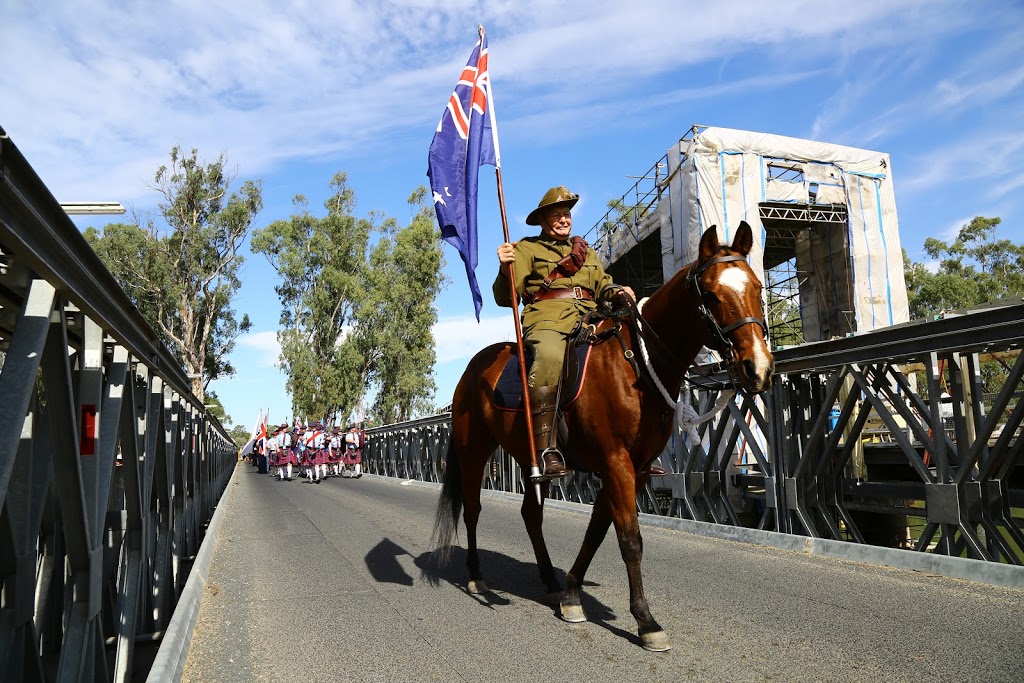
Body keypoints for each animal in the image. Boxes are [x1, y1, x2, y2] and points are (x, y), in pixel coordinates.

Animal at [428, 223, 770, 651]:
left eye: (757, 286)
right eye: (710, 294)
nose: (758, 367)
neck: (637, 365)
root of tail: (473, 367)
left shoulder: (635, 469)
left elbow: (597, 532)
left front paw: (573, 594)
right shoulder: (616, 463)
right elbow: (629, 539)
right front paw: (646, 621)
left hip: (533, 460)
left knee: (531, 514)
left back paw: (550, 581)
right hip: (473, 451)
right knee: (471, 508)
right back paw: (476, 575)